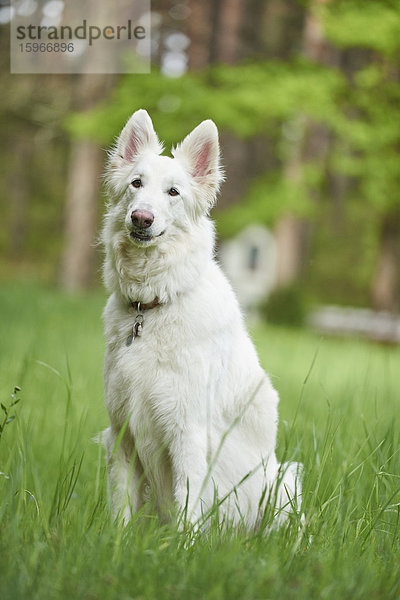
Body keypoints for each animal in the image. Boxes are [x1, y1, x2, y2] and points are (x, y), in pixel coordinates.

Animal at [99, 109, 300, 528]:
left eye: (173, 193)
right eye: (136, 184)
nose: (141, 218)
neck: (152, 304)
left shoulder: (187, 435)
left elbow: (187, 509)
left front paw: (182, 544)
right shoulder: (121, 433)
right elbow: (120, 510)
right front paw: (115, 541)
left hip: (284, 480)